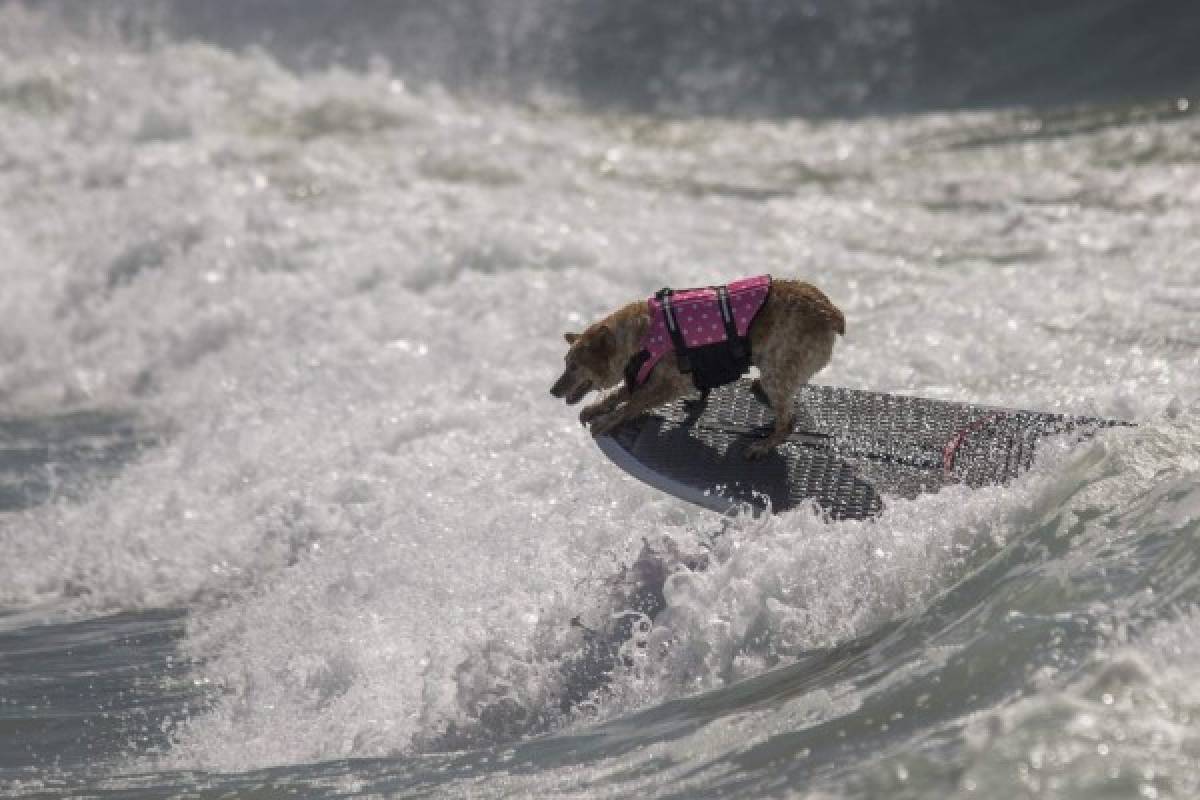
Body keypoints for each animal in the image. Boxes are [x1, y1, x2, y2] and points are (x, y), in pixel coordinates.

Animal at [552, 278, 844, 460]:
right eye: (565, 363)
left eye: (574, 366)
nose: (552, 391)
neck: (641, 336)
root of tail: (832, 313)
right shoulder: (646, 376)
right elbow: (619, 393)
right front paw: (595, 408)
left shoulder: (673, 383)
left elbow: (633, 402)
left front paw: (607, 419)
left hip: (777, 369)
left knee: (789, 420)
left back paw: (762, 446)